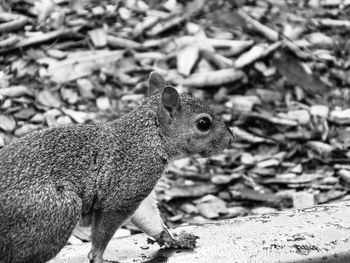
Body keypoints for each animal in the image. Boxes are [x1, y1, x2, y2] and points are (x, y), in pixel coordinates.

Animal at [0, 72, 235, 263]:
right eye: (203, 124)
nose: (231, 139)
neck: (147, 137)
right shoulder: (125, 191)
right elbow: (104, 232)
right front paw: (98, 257)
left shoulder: (139, 192)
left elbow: (148, 218)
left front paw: (175, 239)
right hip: (56, 210)